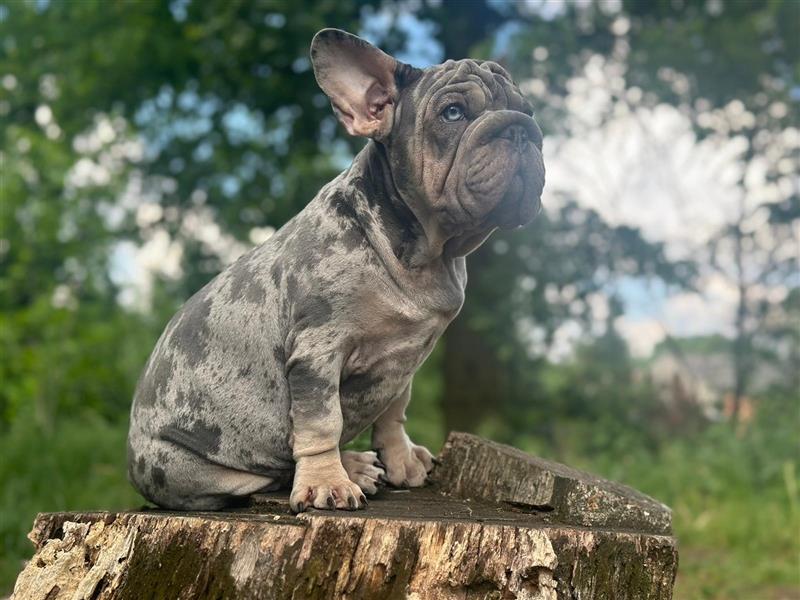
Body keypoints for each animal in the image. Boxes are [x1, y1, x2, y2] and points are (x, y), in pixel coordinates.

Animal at [128, 28, 548, 510]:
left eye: (528, 111)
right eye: (453, 113)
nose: (520, 129)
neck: (425, 253)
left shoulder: (402, 362)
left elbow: (393, 412)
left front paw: (401, 460)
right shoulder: (317, 352)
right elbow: (320, 422)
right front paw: (327, 482)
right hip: (192, 469)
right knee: (264, 477)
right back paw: (344, 470)